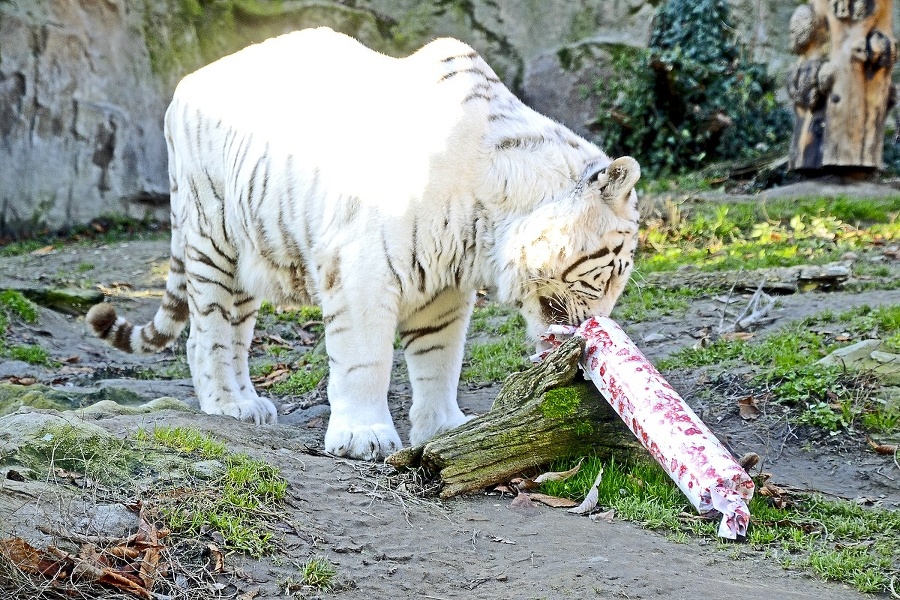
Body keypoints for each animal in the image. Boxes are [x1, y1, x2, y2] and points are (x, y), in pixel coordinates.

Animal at [82, 27, 632, 460]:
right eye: (609, 271)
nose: (593, 329)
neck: (485, 226)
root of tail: (186, 83)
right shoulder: (361, 271)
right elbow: (366, 360)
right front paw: (363, 439)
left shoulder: (444, 290)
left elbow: (440, 359)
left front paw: (444, 429)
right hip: (210, 235)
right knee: (206, 334)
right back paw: (227, 406)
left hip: (248, 256)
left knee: (234, 332)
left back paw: (250, 406)